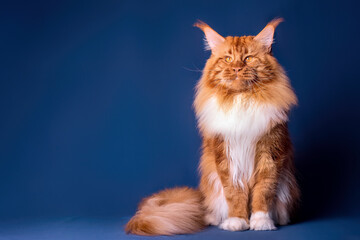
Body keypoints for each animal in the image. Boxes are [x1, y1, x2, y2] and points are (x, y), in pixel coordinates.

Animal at [125, 18, 300, 234]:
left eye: (249, 58)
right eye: (228, 59)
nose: (236, 68)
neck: (241, 99)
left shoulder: (269, 155)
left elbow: (263, 192)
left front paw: (261, 222)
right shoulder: (225, 156)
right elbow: (235, 194)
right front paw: (237, 221)